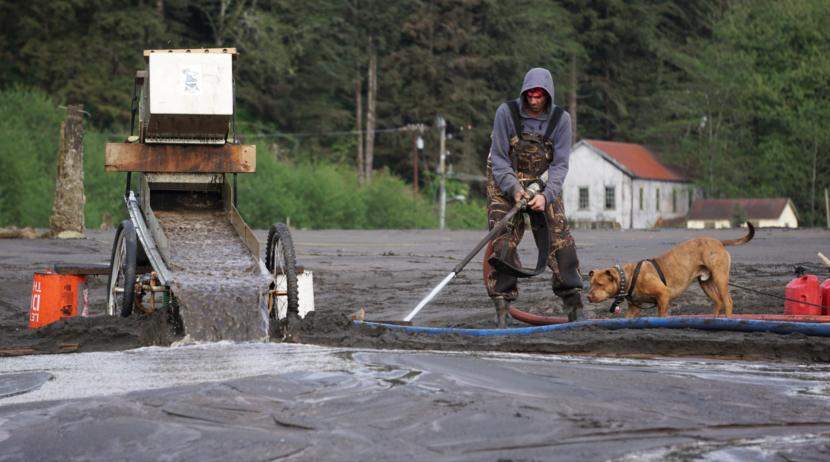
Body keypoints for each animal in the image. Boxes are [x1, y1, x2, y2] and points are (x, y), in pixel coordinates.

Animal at [588, 223, 756, 318]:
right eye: (591, 284)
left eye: (600, 284)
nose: (588, 297)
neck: (627, 277)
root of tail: (719, 242)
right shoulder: (634, 308)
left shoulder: (663, 295)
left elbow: (662, 316)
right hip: (706, 284)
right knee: (718, 302)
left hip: (720, 278)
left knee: (727, 301)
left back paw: (727, 320)